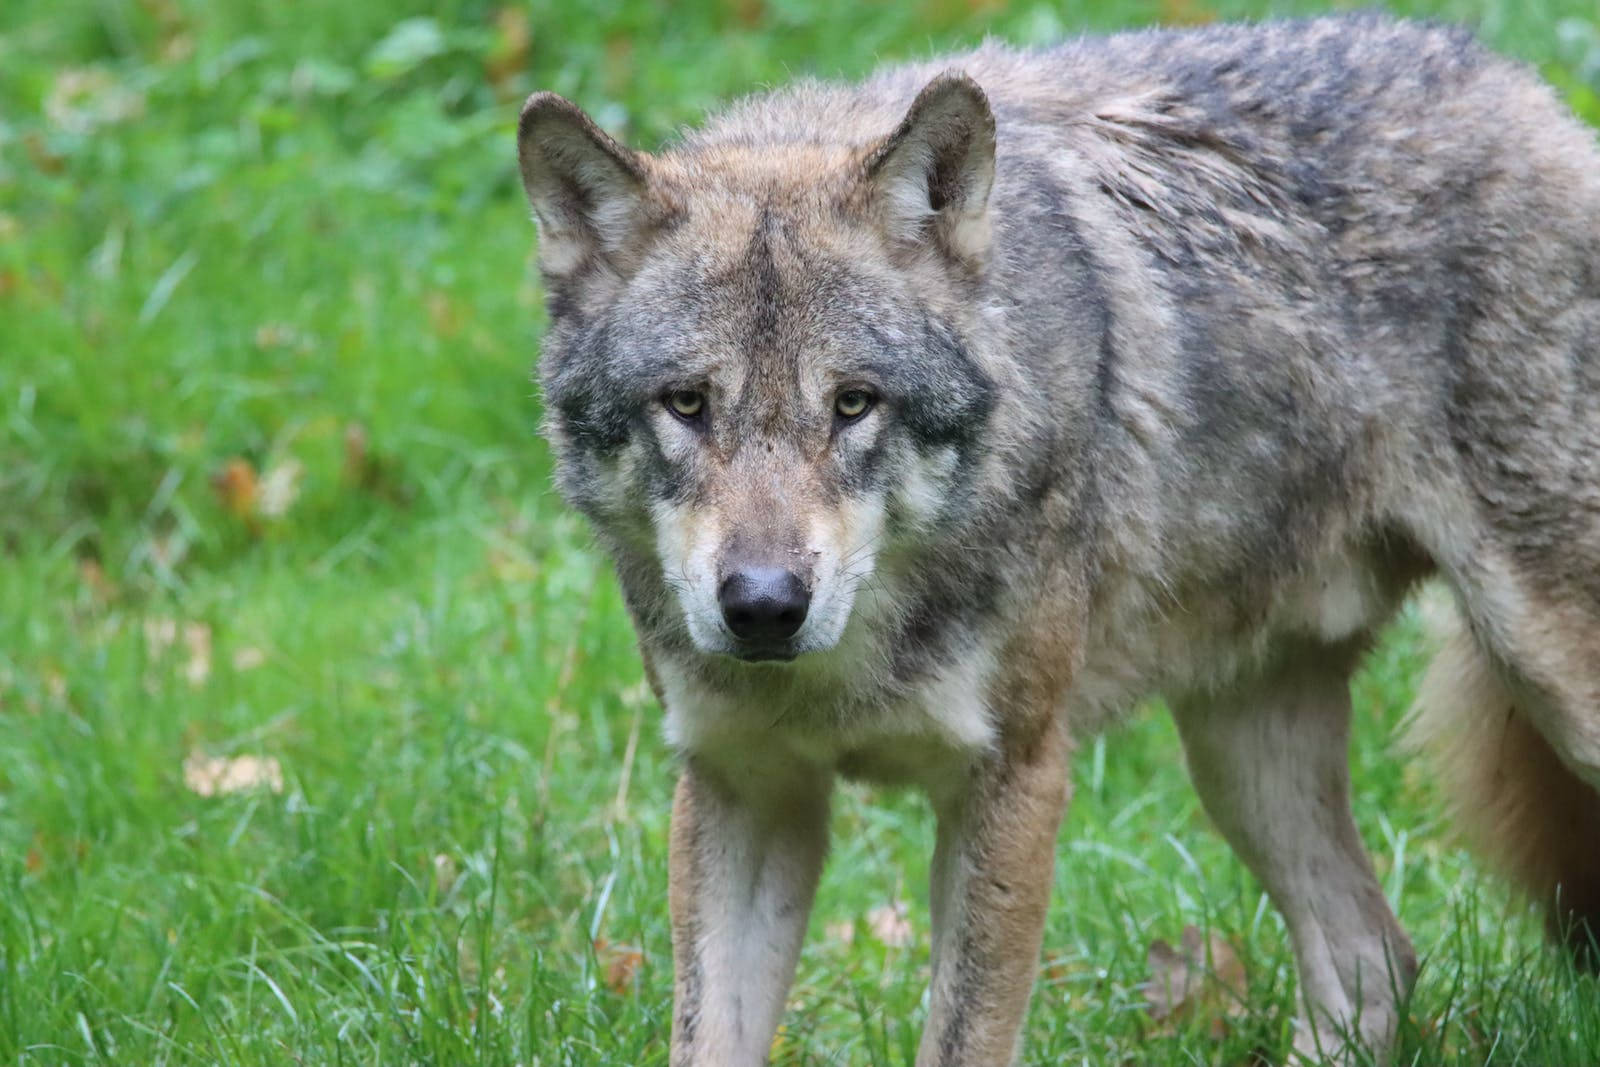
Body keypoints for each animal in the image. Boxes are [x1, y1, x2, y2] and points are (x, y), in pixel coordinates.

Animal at [515, 14, 1600, 1067]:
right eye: (687, 404)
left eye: (854, 403)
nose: (764, 606)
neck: (847, 667)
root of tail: (1521, 86)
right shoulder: (743, 785)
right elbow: (707, 1036)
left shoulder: (1015, 780)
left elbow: (963, 1036)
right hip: (1238, 750)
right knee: (1372, 952)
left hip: (1546, 683)